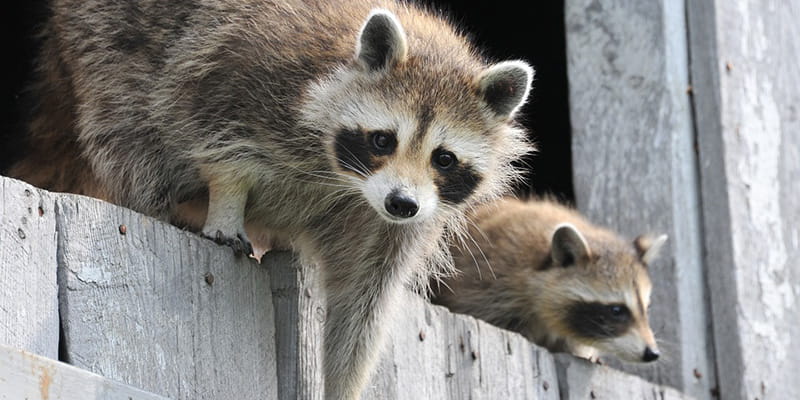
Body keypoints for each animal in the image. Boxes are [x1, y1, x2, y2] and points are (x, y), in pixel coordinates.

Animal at [9, 1, 536, 398]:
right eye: (383, 140)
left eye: (443, 158)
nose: (402, 203)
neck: (346, 179)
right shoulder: (252, 72)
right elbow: (216, 136)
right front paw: (226, 201)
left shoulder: (392, 224)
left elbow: (363, 305)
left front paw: (343, 382)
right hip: (103, 43)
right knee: (126, 125)